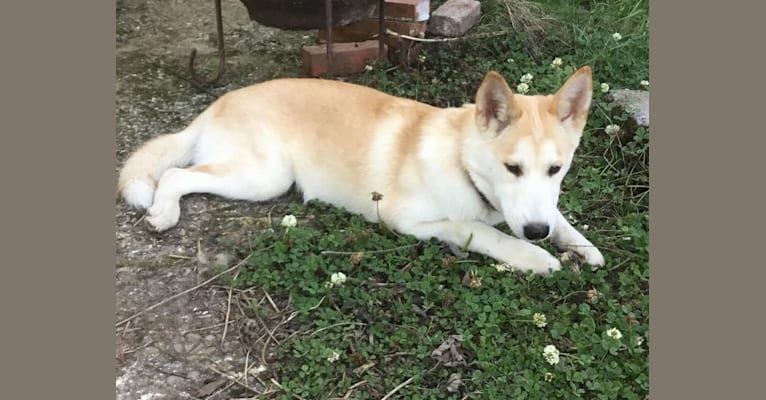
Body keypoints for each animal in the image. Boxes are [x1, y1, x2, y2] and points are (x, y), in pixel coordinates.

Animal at [118, 68, 608, 276]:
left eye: (556, 169)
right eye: (512, 168)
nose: (537, 233)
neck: (462, 161)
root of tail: (217, 104)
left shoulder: (538, 206)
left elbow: (559, 217)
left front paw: (581, 246)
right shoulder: (405, 219)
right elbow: (485, 232)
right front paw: (535, 257)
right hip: (264, 178)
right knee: (176, 176)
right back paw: (164, 211)